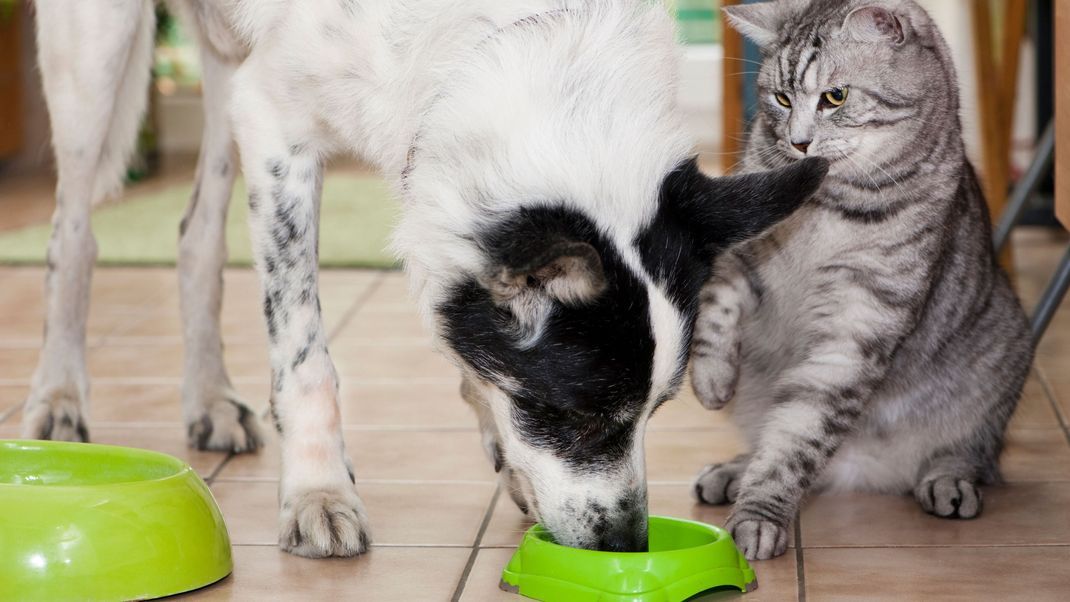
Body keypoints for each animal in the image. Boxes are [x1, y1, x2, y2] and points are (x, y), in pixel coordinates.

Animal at [27, 1, 826, 560]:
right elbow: (305, 355)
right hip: (96, 57)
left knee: (195, 236)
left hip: (224, 70)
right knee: (73, 232)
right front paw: (318, 491)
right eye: (575, 416)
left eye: (654, 413)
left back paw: (210, 403)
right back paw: (58, 396)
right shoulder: (276, 123)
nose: (627, 545)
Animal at [689, 0, 1031, 560]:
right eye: (782, 98)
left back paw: (948, 483)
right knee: (773, 439)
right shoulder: (742, 252)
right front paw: (712, 380)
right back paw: (732, 471)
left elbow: (798, 439)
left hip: (1001, 356)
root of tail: (862, 472)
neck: (830, 202)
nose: (798, 142)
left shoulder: (857, 324)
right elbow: (714, 300)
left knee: (973, 454)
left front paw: (759, 517)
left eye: (835, 96)